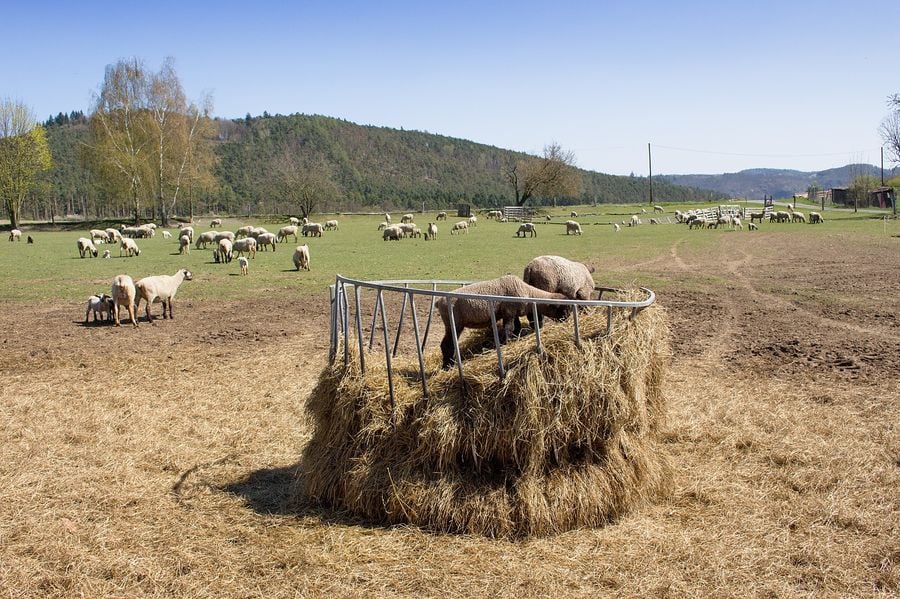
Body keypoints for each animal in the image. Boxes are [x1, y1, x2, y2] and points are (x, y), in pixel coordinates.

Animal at [438, 276, 568, 370]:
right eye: (562, 308)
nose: (566, 319)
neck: (527, 292)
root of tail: (439, 302)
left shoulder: (513, 314)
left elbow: (517, 327)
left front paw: (515, 339)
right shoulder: (509, 312)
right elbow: (508, 329)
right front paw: (507, 342)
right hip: (454, 323)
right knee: (446, 344)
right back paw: (447, 366)